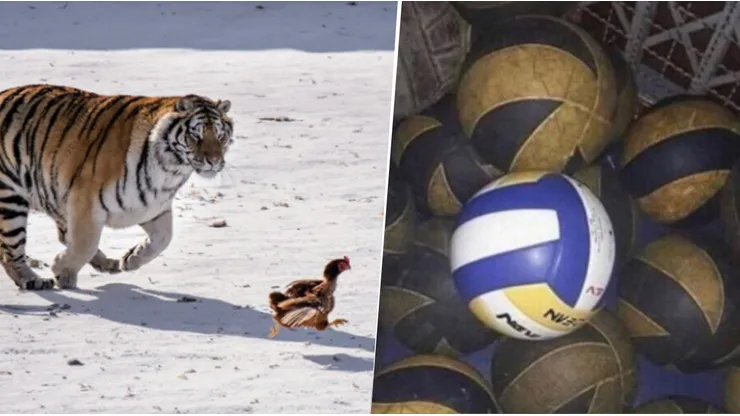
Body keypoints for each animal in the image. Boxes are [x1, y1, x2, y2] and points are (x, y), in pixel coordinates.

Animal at [0, 84, 234, 291]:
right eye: (196, 135)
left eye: (220, 136)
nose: (214, 161)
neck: (170, 171)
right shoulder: (85, 204)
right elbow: (85, 244)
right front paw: (61, 270)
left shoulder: (152, 206)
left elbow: (164, 238)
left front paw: (132, 259)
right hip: (11, 199)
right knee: (11, 252)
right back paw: (32, 280)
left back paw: (109, 264)